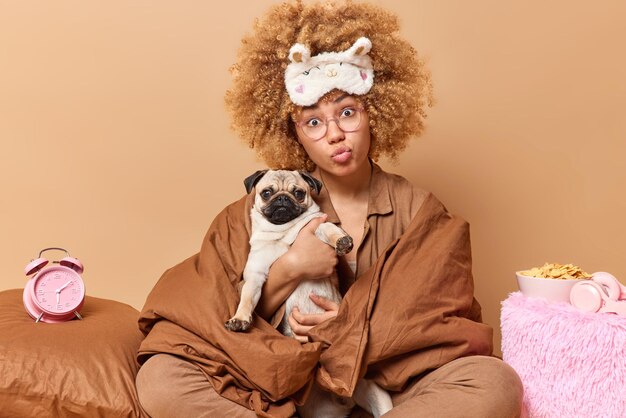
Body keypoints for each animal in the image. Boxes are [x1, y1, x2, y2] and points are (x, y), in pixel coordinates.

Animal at [223, 170, 390, 418]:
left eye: (299, 193)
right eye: (267, 193)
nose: (283, 199)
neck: (281, 233)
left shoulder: (316, 225)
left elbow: (328, 229)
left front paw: (342, 241)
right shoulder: (255, 274)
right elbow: (247, 299)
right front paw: (240, 319)